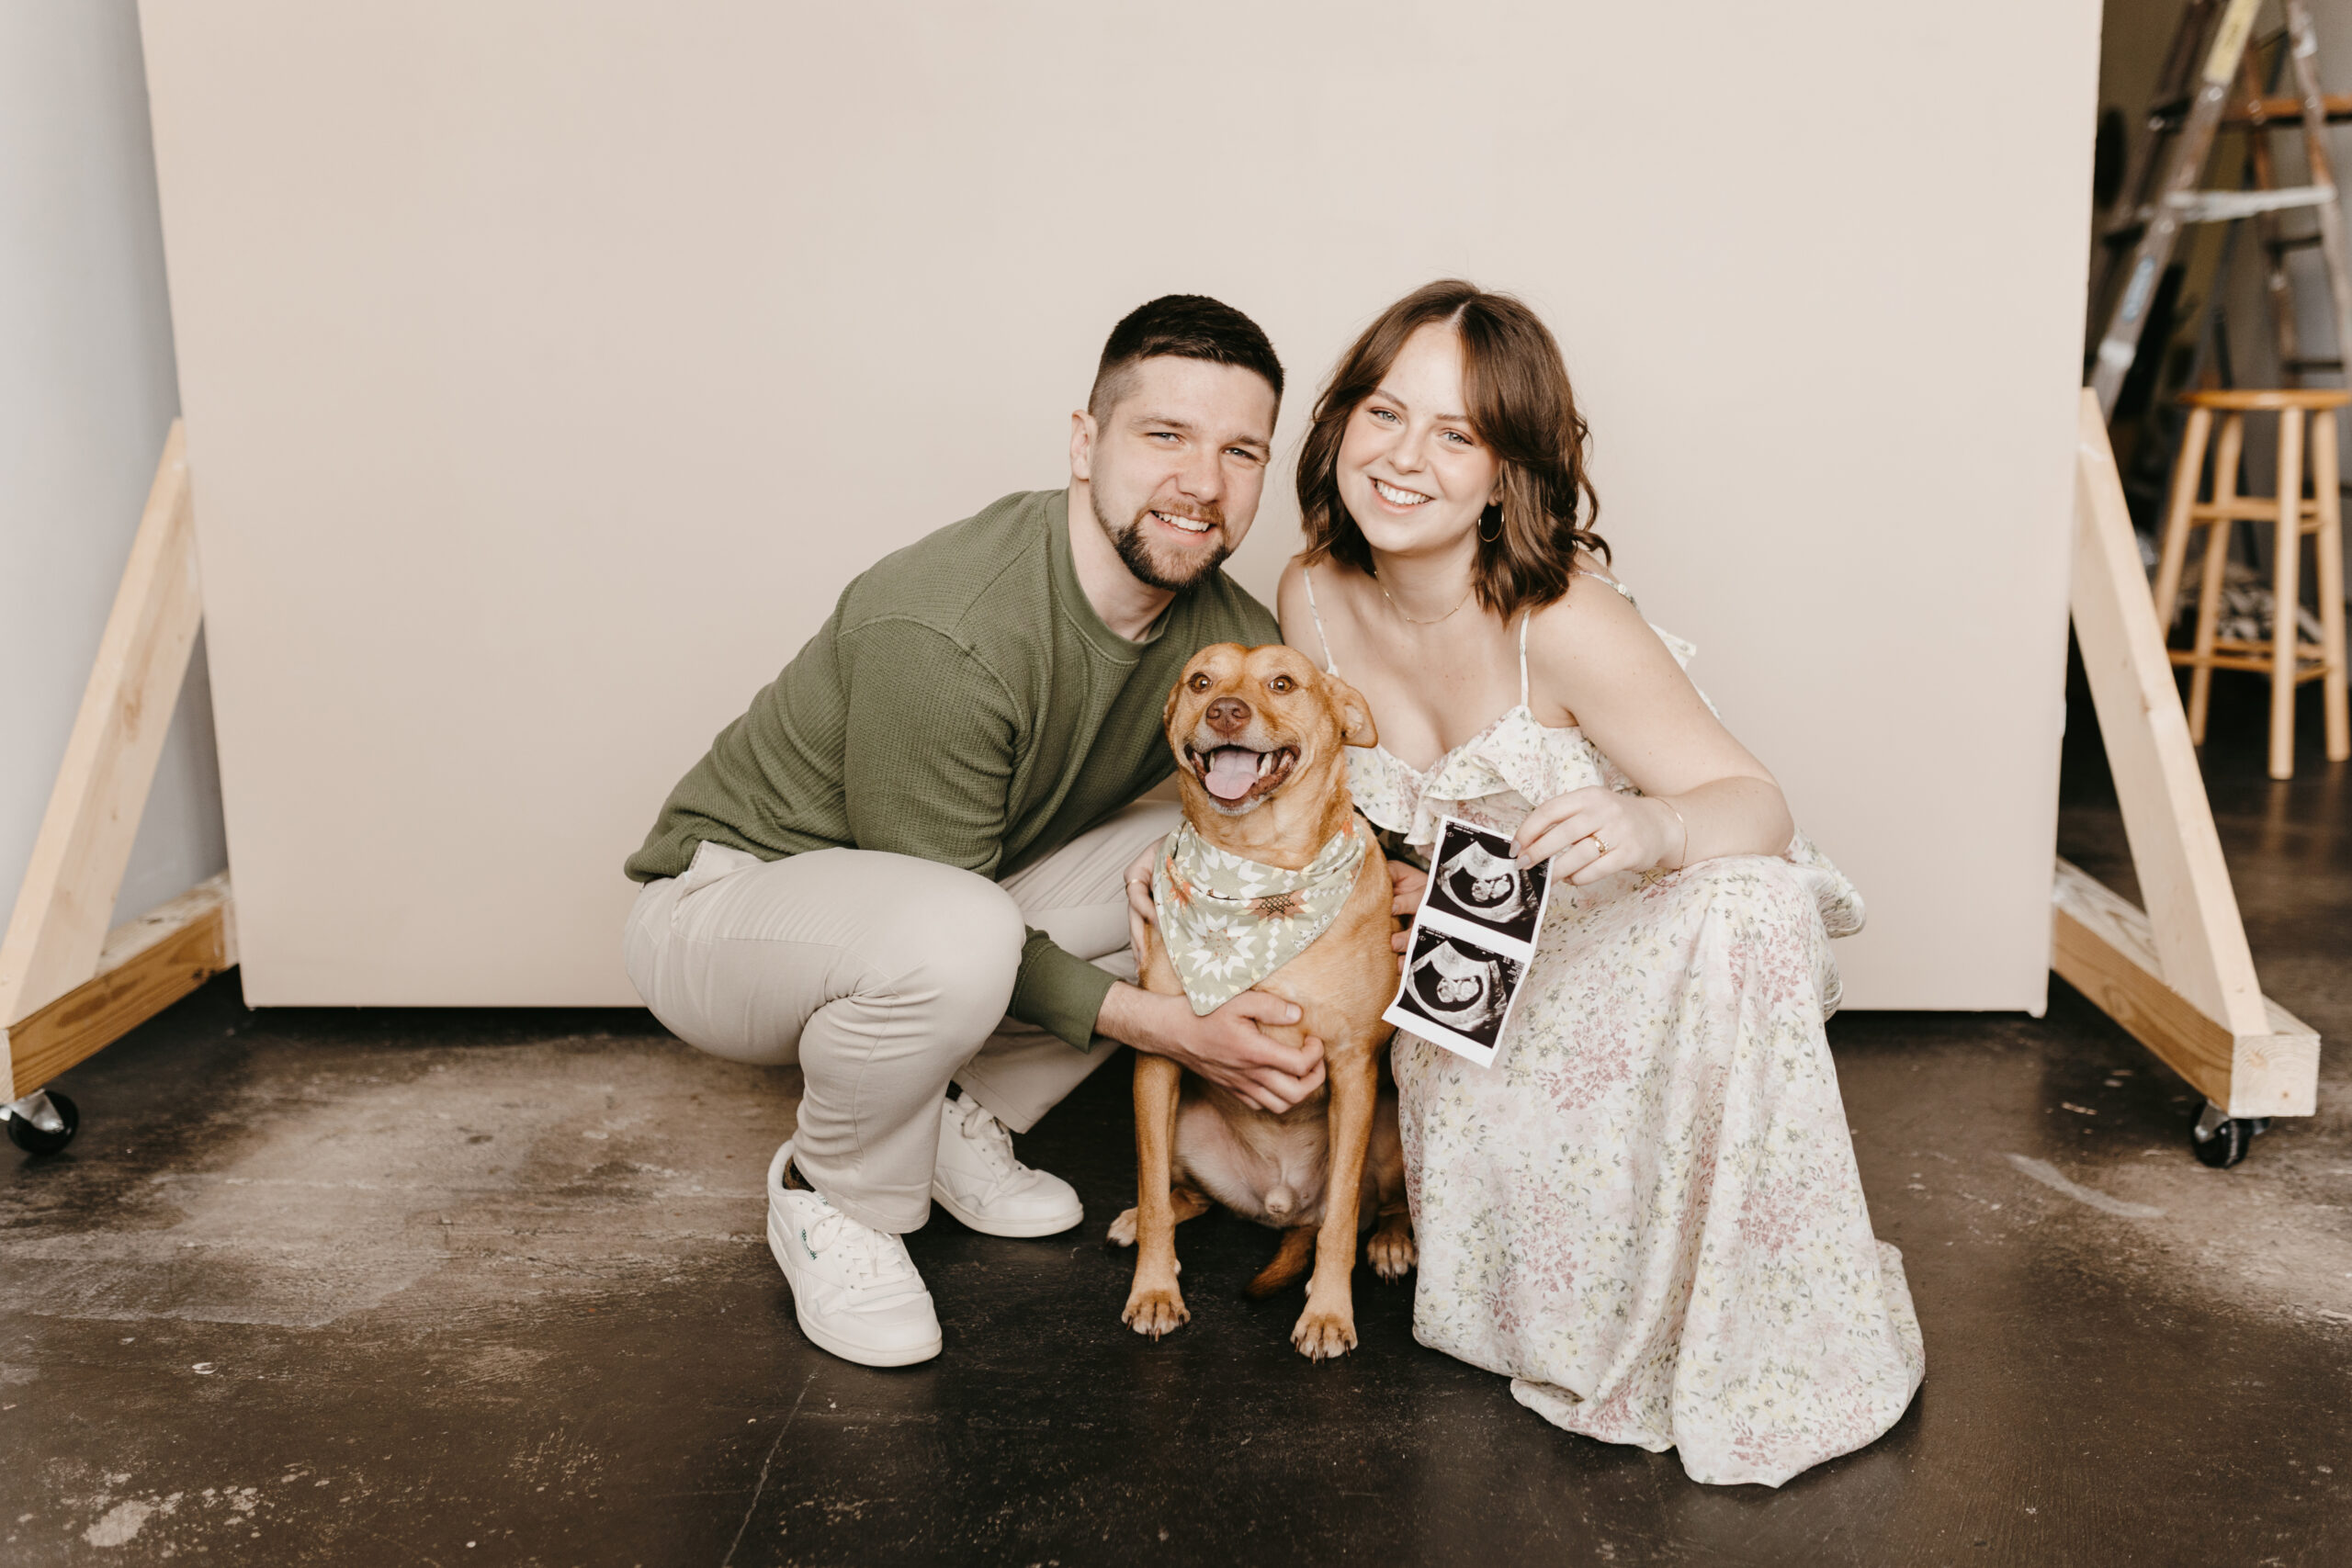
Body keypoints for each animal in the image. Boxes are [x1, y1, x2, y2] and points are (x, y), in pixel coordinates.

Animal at [1114, 644, 1420, 1354]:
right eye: (1202, 681)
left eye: (1283, 683)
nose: (1226, 710)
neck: (1262, 876)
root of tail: (1283, 1206)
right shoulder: (1157, 1061)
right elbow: (1153, 1186)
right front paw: (1154, 1288)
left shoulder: (1352, 1070)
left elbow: (1341, 1220)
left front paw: (1330, 1312)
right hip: (1184, 1122)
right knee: (1180, 1195)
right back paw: (1139, 1217)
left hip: (1388, 1121)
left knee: (1373, 1206)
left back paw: (1393, 1240)